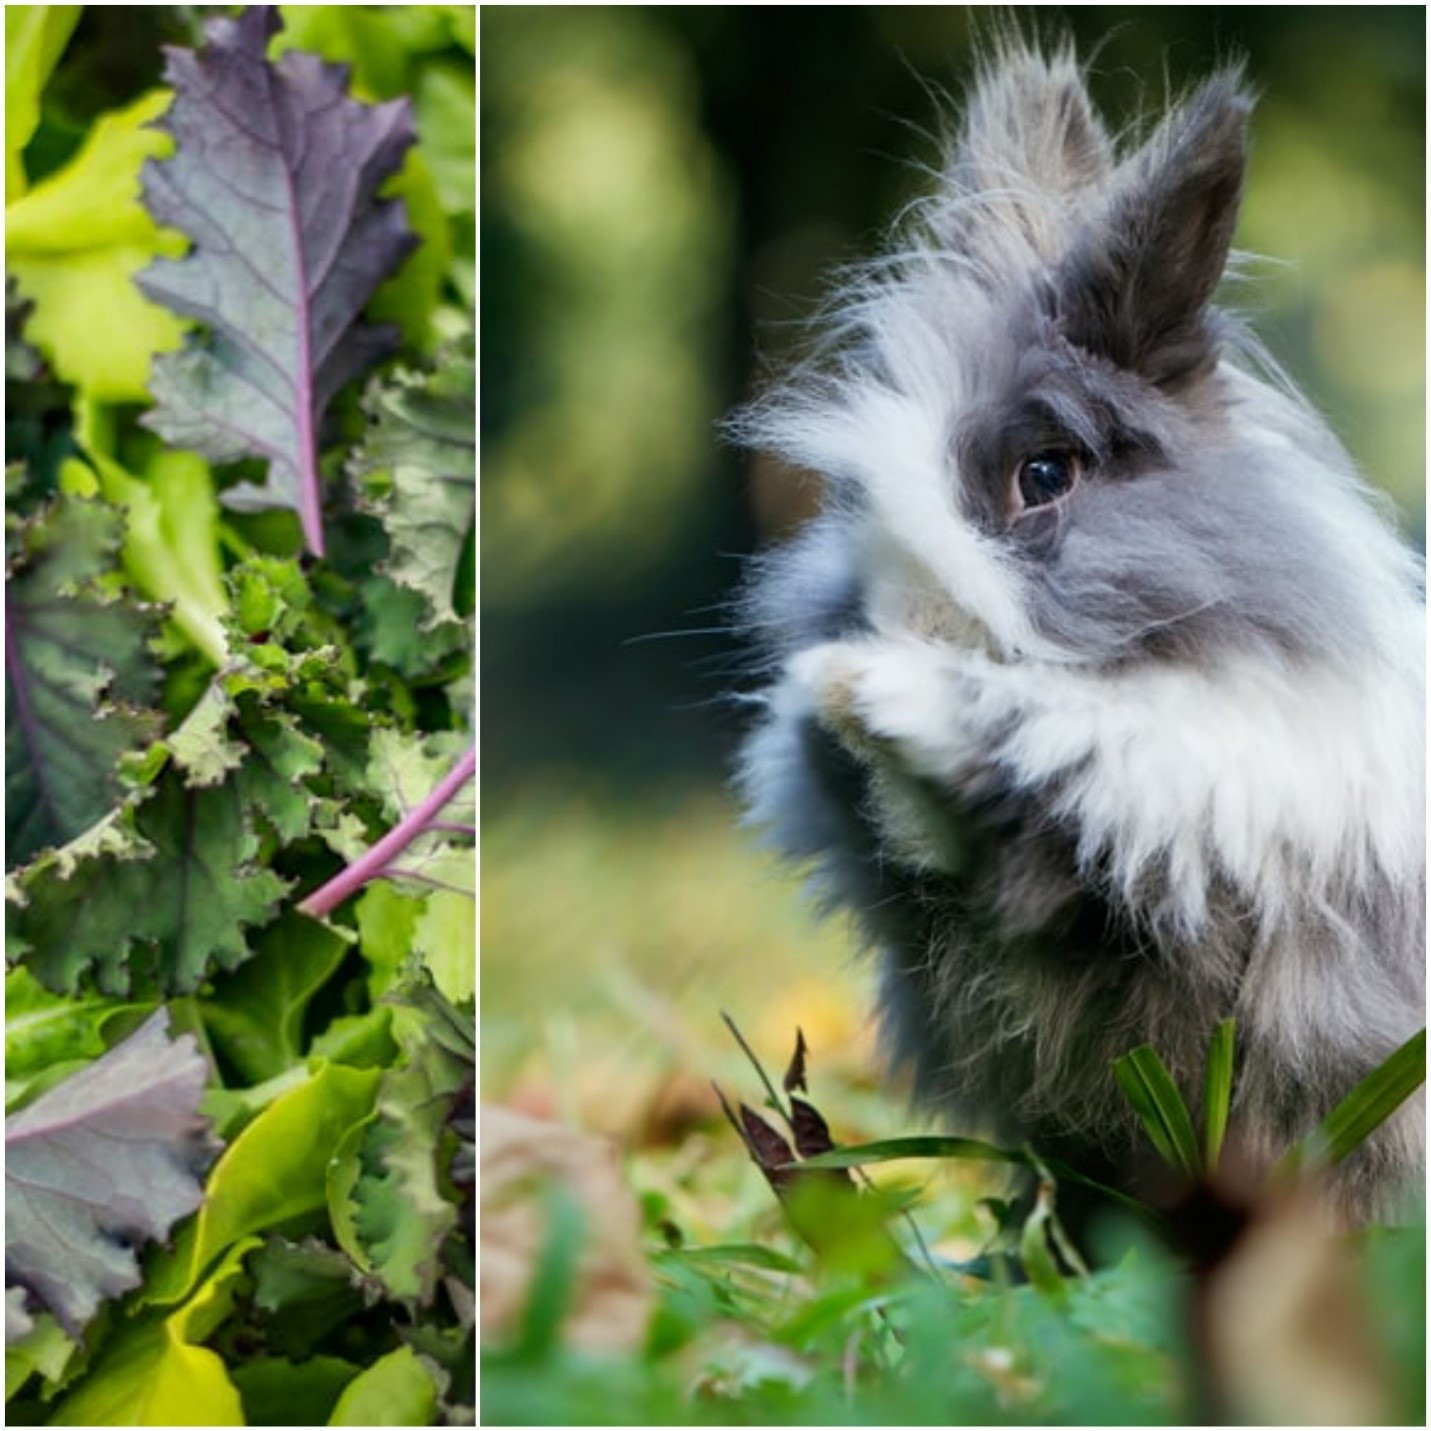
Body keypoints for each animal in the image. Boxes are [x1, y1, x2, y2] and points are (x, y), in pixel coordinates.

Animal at [732, 38, 1425, 1225]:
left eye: (1046, 476)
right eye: (852, 498)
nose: (899, 626)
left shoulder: (1207, 775)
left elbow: (1072, 745)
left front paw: (884, 696)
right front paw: (840, 707)